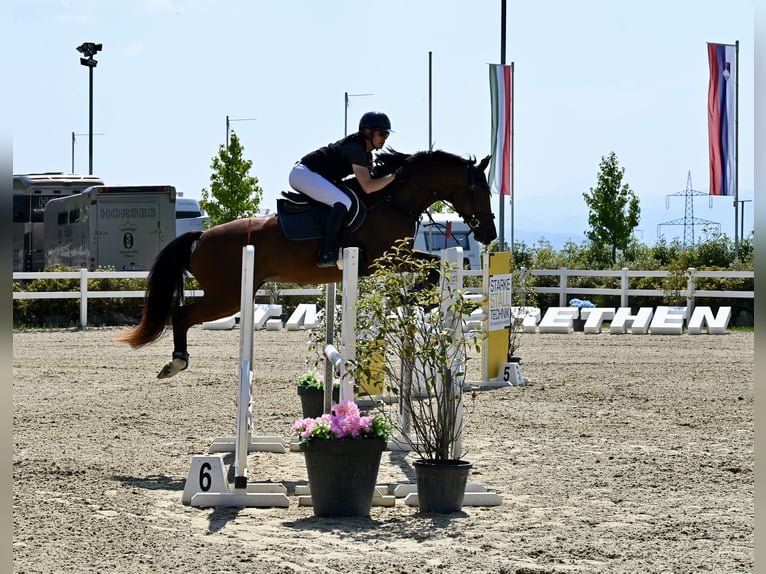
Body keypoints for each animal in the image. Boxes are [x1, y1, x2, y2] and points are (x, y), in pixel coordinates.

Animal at [115, 151, 498, 380]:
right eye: (480, 190)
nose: (490, 233)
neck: (393, 198)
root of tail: (202, 236)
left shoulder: (392, 259)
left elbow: (434, 265)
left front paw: (415, 298)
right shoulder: (384, 258)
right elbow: (432, 266)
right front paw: (412, 297)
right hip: (226, 295)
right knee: (181, 315)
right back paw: (176, 362)